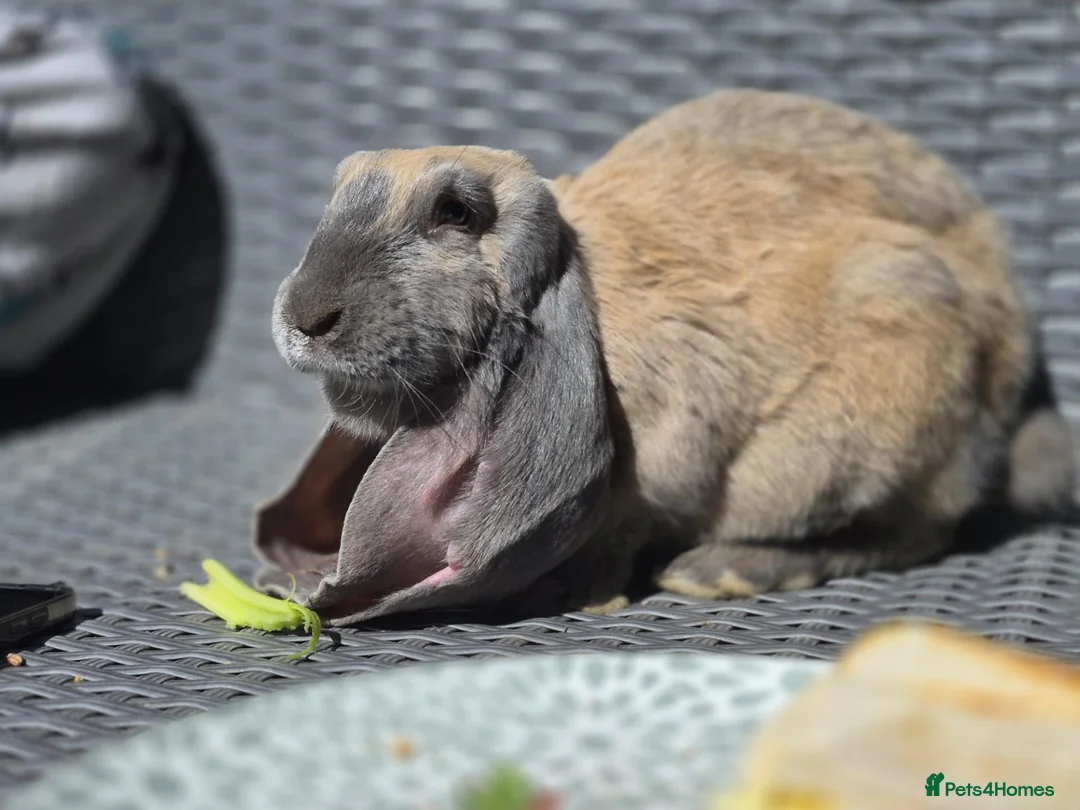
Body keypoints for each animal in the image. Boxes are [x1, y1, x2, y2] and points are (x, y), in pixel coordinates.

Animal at [254, 88, 1075, 626]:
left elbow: (616, 539)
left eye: (454, 213)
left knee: (918, 530)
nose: (306, 317)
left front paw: (577, 596)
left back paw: (716, 572)